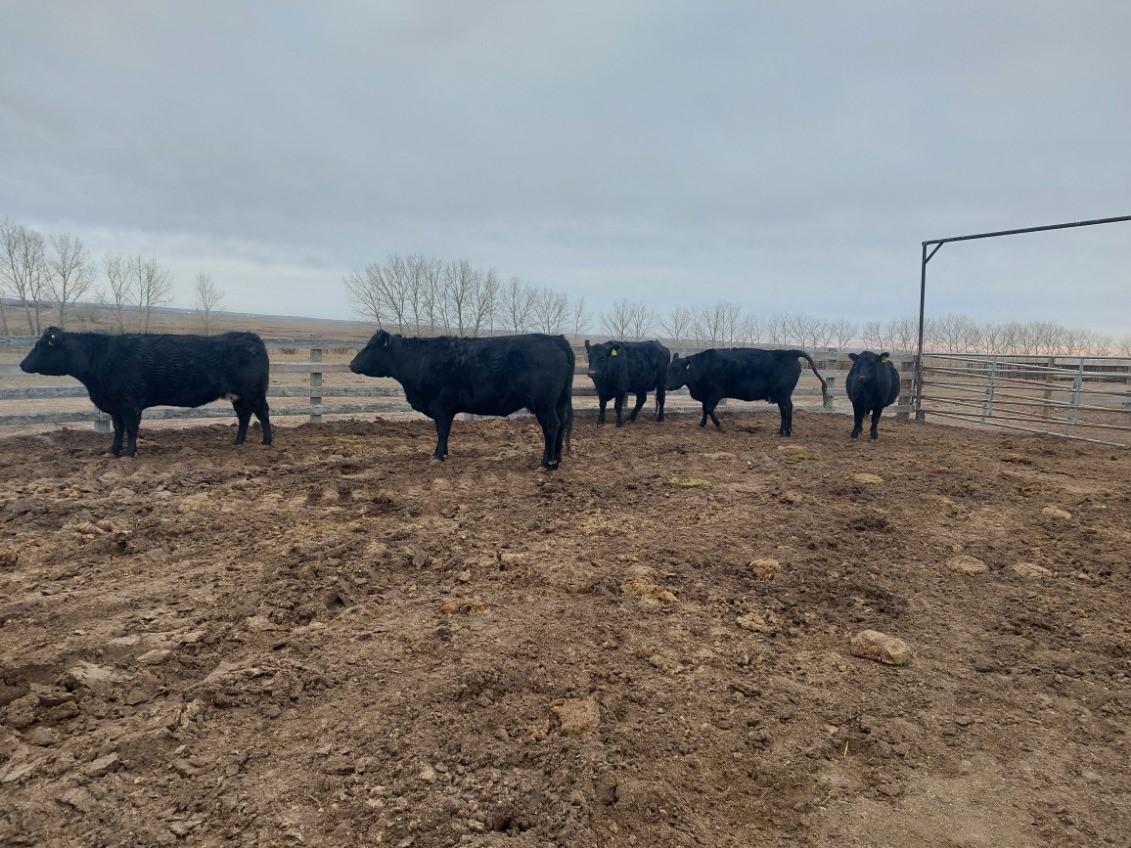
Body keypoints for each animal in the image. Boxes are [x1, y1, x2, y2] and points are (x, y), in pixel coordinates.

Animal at [20, 327, 273, 457]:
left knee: (263, 413)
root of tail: (248, 336)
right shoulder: (114, 406)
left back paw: (267, 442)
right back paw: (237, 442)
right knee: (244, 416)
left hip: (254, 392)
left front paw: (129, 453)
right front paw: (113, 451)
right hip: (238, 395)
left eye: (40, 346)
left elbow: (132, 429)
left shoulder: (130, 403)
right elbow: (118, 429)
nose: (22, 364)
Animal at [349, 331, 574, 469]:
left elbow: (442, 431)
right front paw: (442, 454)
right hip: (559, 402)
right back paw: (557, 460)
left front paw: (438, 457)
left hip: (543, 404)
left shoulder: (441, 406)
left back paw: (546, 463)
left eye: (371, 348)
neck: (418, 360)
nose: (351, 364)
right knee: (561, 425)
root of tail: (556, 339)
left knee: (552, 426)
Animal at [666, 348, 829, 436]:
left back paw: (782, 432)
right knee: (789, 408)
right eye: (669, 369)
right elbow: (704, 409)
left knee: (785, 409)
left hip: (782, 394)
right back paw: (787, 431)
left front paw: (719, 426)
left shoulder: (716, 393)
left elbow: (709, 409)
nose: (667, 386)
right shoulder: (706, 395)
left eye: (678, 371)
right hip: (785, 395)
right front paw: (702, 424)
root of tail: (790, 353)